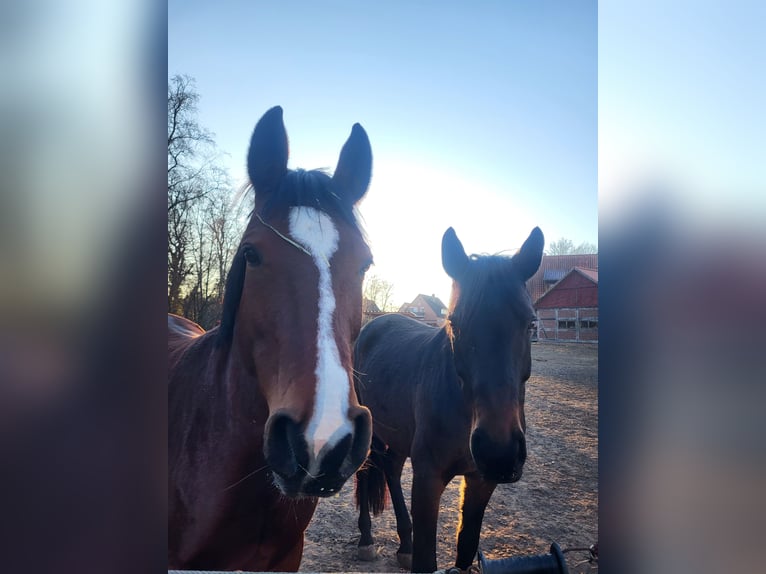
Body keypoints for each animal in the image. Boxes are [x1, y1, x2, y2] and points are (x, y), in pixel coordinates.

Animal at [354, 225, 544, 573]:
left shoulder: (481, 481)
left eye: (530, 323)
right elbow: (426, 559)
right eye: (454, 322)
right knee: (366, 471)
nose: (498, 451)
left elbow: (466, 545)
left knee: (391, 469)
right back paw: (367, 540)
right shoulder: (428, 479)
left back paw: (404, 544)